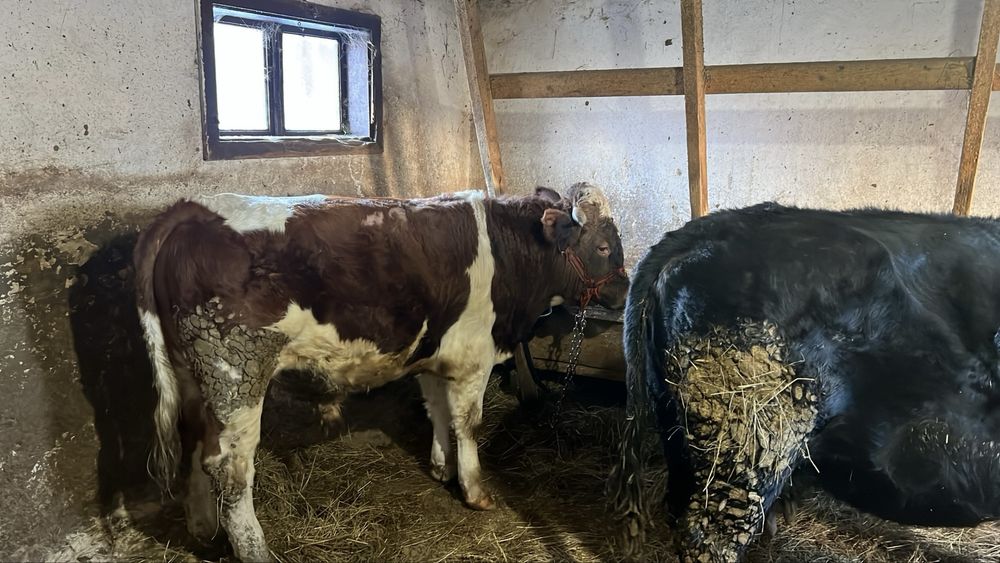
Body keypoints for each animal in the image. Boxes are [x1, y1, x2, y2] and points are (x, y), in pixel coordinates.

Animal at [134, 184, 629, 561]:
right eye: (604, 247)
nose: (625, 291)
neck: (509, 255)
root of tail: (194, 210)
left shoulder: (435, 352)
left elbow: (436, 410)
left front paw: (440, 466)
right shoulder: (474, 356)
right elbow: (468, 423)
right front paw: (474, 489)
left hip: (195, 375)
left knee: (194, 443)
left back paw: (201, 526)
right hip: (235, 372)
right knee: (230, 467)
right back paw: (256, 550)